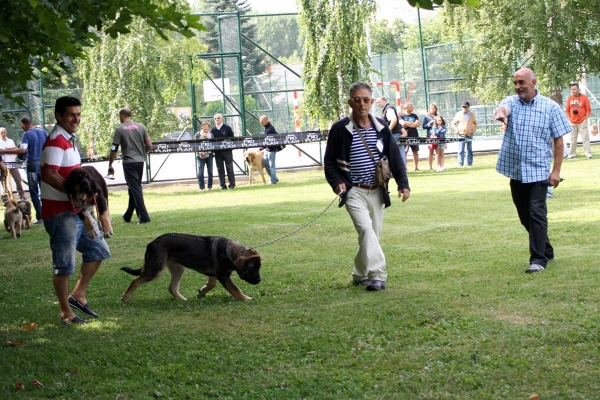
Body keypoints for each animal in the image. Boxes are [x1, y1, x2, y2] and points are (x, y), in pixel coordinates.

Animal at [120, 233, 262, 302]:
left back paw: (183, 300)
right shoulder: (222, 275)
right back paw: (125, 298)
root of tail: (152, 243)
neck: (231, 252)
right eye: (252, 268)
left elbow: (211, 285)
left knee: (172, 288)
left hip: (178, 269)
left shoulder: (214, 274)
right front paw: (245, 298)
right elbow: (235, 289)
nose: (259, 281)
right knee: (135, 281)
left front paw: (201, 292)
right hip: (156, 269)